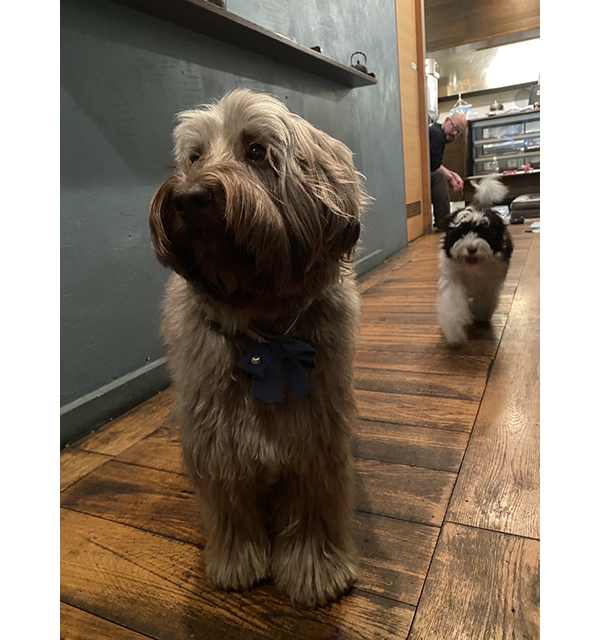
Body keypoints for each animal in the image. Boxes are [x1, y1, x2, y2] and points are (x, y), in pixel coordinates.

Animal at [148, 89, 368, 607]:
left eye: (254, 151)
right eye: (194, 157)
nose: (188, 198)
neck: (265, 339)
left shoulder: (315, 433)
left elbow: (312, 505)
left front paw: (315, 571)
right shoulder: (215, 435)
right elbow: (229, 505)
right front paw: (236, 562)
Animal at [437, 175, 513, 345]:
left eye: (483, 234)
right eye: (461, 233)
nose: (471, 249)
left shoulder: (489, 282)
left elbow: (484, 299)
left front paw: (481, 314)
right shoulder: (453, 278)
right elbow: (453, 304)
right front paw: (454, 332)